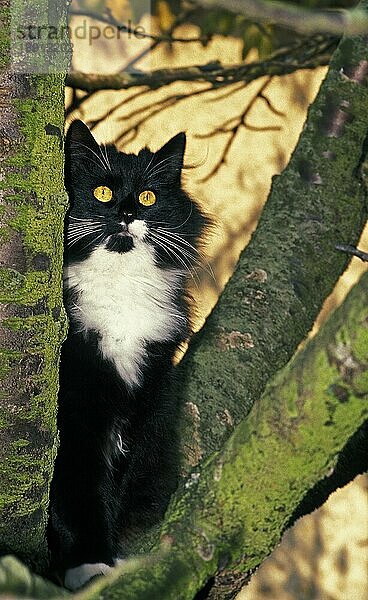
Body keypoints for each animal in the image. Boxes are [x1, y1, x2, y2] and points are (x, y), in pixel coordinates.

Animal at [49, 120, 207, 592]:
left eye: (149, 197)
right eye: (102, 192)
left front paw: (108, 554)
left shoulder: (140, 406)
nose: (126, 213)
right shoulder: (76, 411)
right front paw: (88, 562)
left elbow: (109, 490)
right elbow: (76, 486)